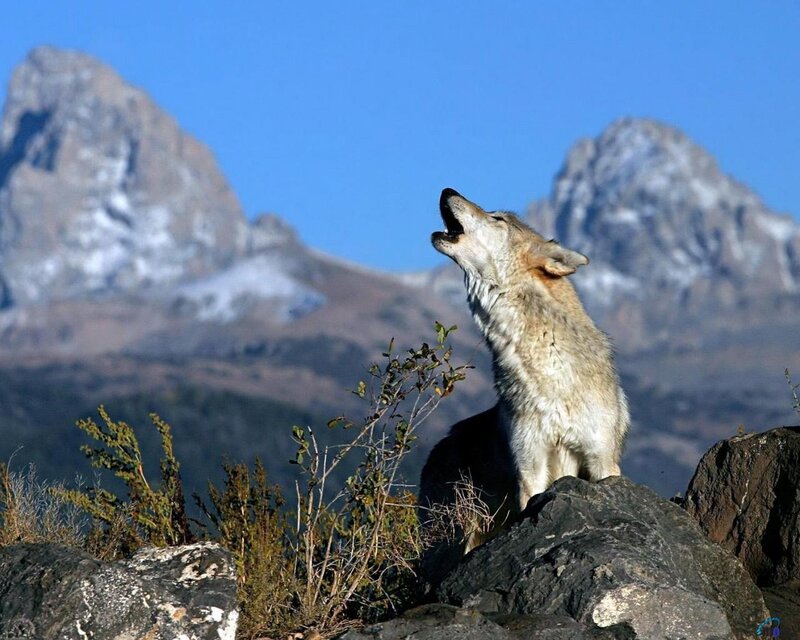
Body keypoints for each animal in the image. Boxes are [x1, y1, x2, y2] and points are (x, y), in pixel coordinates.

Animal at [419, 188, 629, 571]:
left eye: (497, 218)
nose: (447, 191)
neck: (551, 374)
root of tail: (436, 450)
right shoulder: (530, 467)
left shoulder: (601, 460)